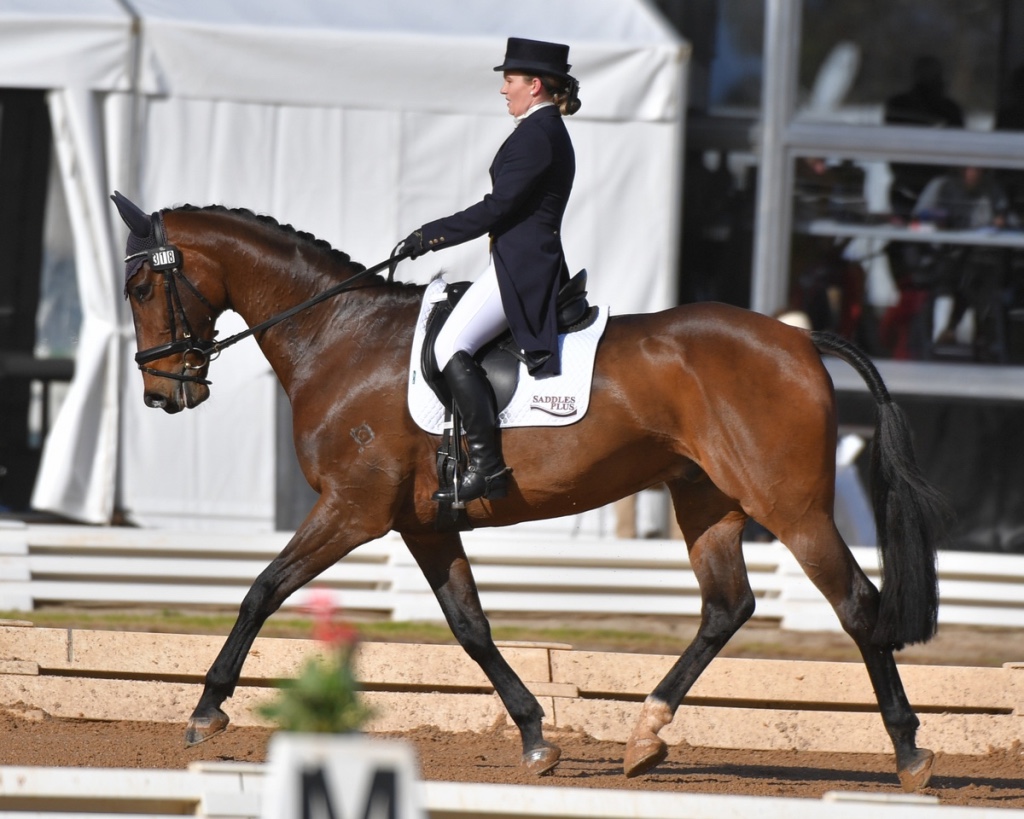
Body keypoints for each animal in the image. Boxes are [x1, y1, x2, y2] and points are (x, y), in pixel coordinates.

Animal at [111, 192, 948, 792]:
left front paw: (207, 708)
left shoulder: (352, 509)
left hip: (791, 507)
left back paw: (909, 752)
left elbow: (262, 589)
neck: (338, 335)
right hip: (706, 498)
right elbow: (471, 627)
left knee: (856, 605)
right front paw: (536, 736)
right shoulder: (423, 525)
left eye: (144, 283)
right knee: (726, 607)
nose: (162, 392)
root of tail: (800, 338)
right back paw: (645, 735)